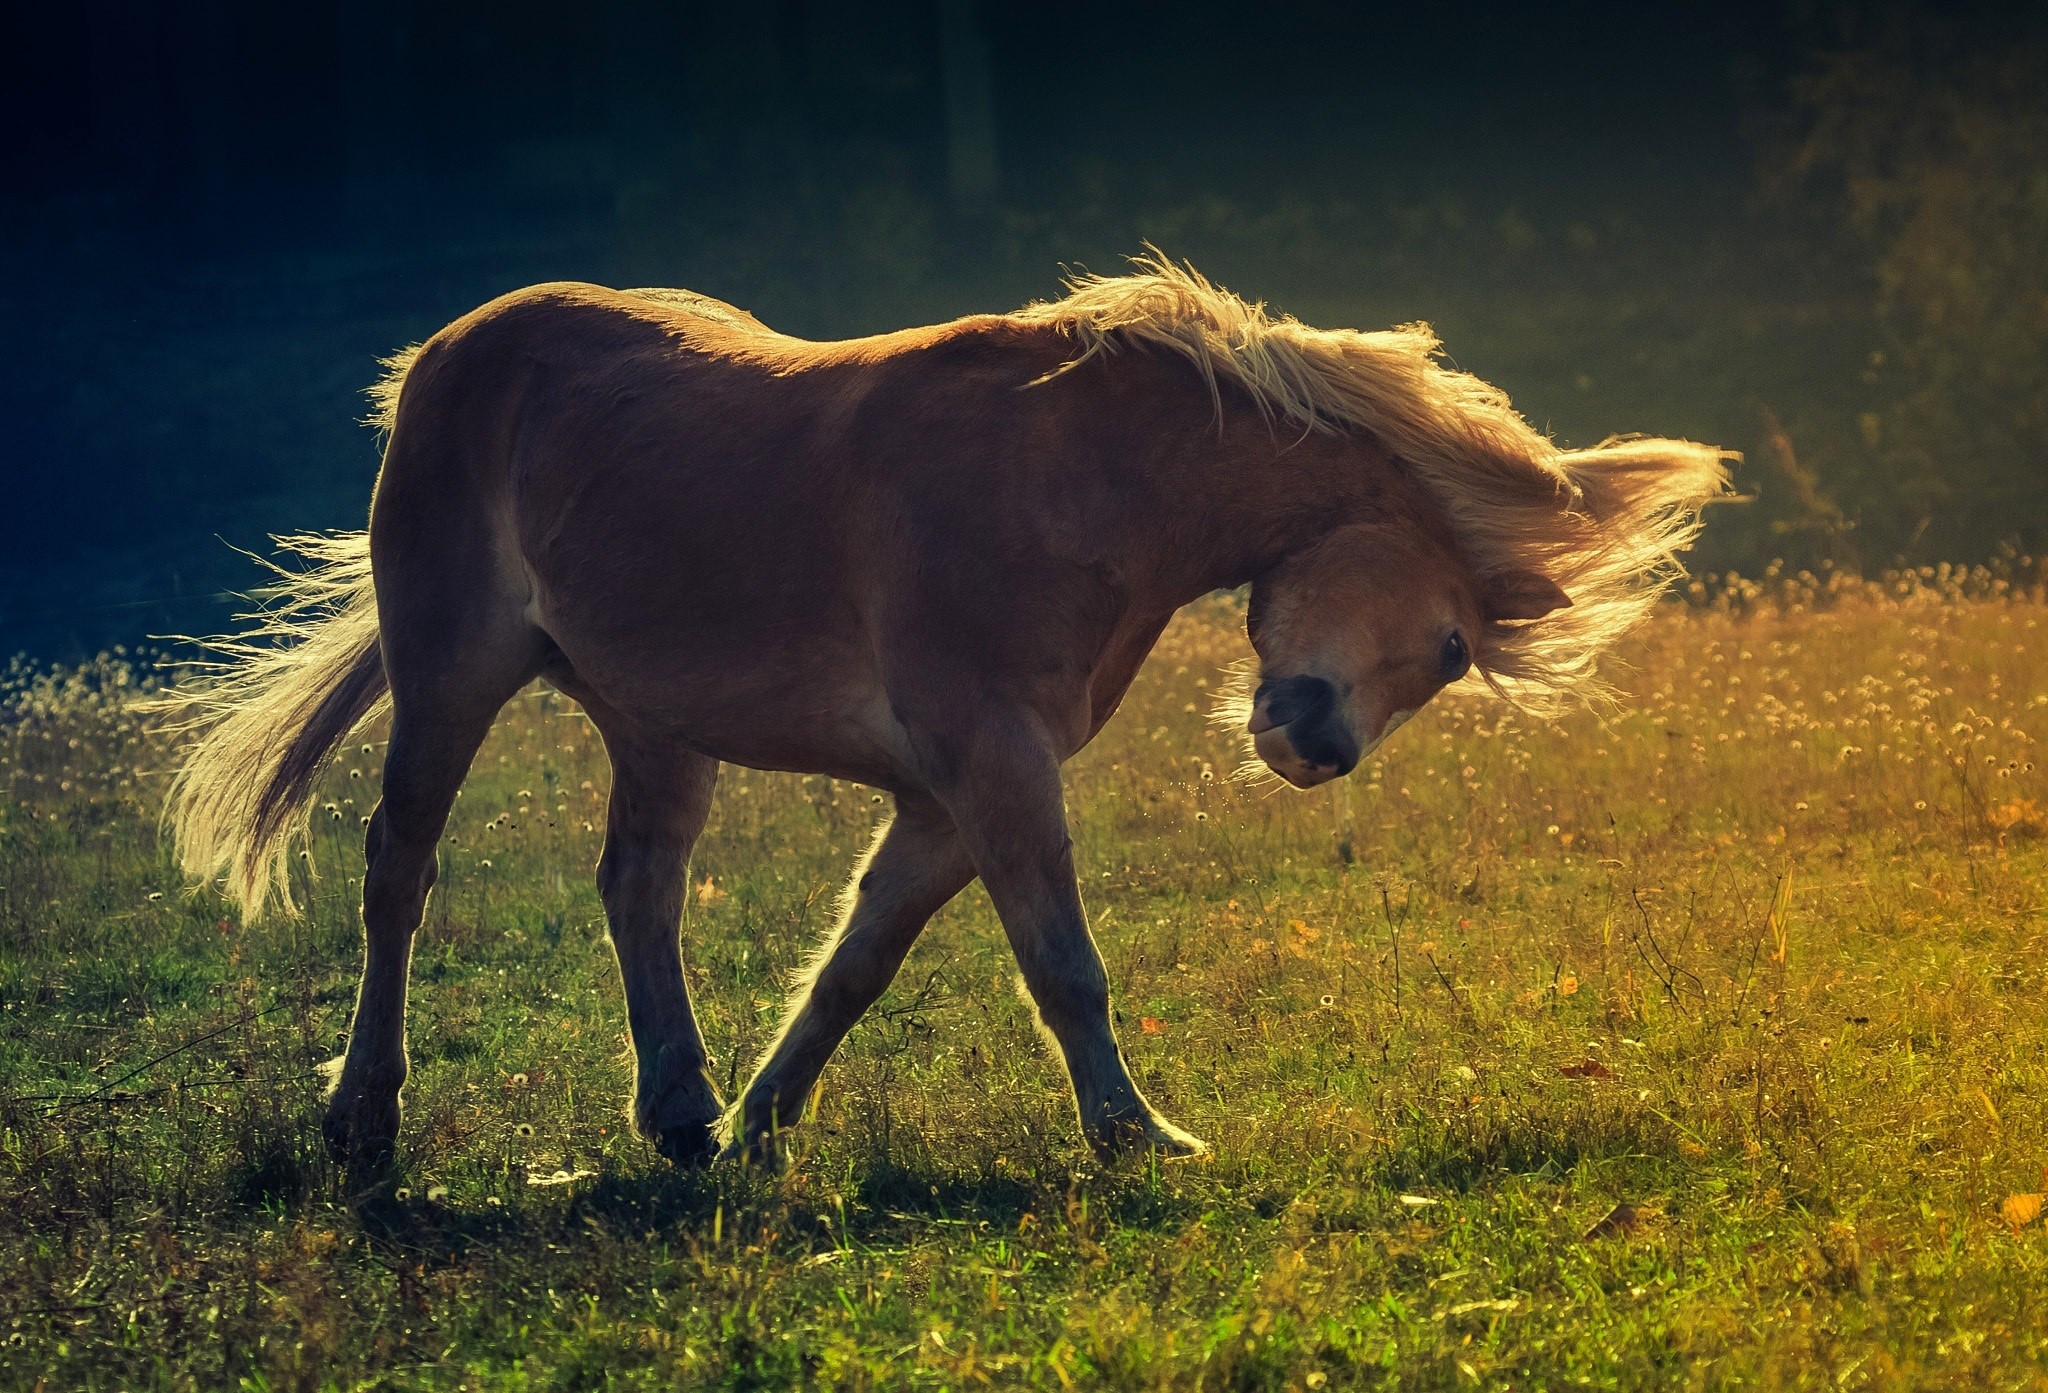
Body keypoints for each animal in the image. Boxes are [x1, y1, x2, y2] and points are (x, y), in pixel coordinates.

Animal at [157, 254, 1727, 1171]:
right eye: (1452, 642)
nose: (1312, 747)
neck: (1073, 478)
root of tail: (451, 350)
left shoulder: (944, 795)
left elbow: (858, 963)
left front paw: (760, 1124)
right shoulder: (993, 764)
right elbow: (1064, 966)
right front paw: (1139, 1139)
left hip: (654, 724)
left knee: (637, 888)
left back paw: (678, 1113)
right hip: (452, 675)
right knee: (399, 871)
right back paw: (363, 1113)